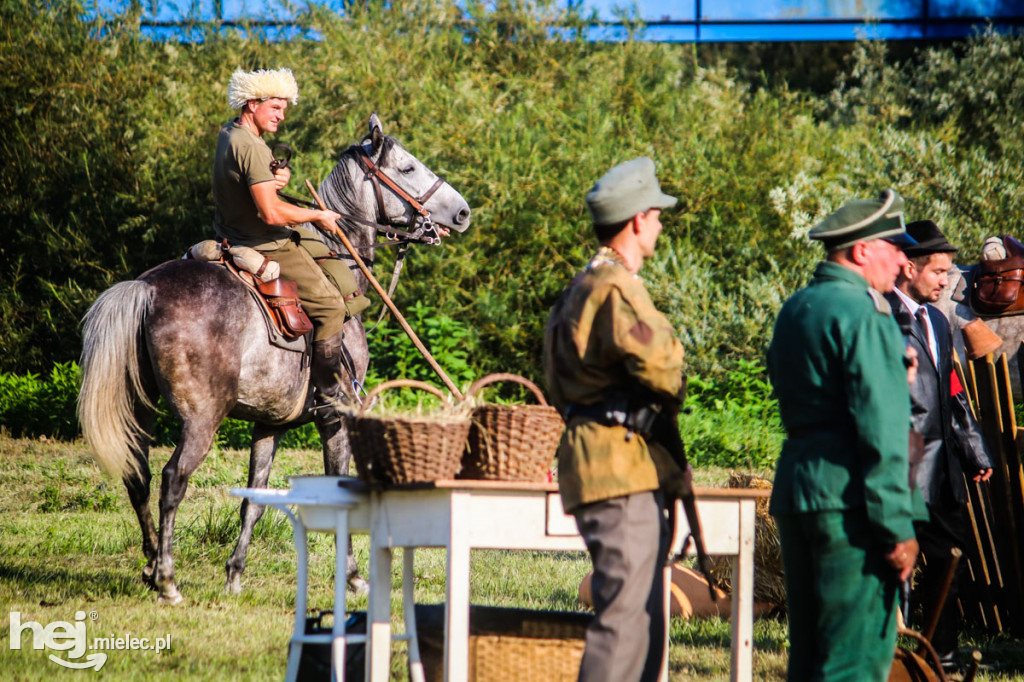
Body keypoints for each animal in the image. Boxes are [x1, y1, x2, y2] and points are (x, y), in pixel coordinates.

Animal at [78, 115, 471, 602]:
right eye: (408, 168)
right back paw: (167, 579)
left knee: (139, 477)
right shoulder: (335, 418)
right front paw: (355, 578)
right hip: (201, 419)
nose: (462, 213)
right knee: (172, 479)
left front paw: (235, 573)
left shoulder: (269, 424)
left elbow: (254, 500)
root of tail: (145, 288)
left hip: (141, 409)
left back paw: (152, 565)